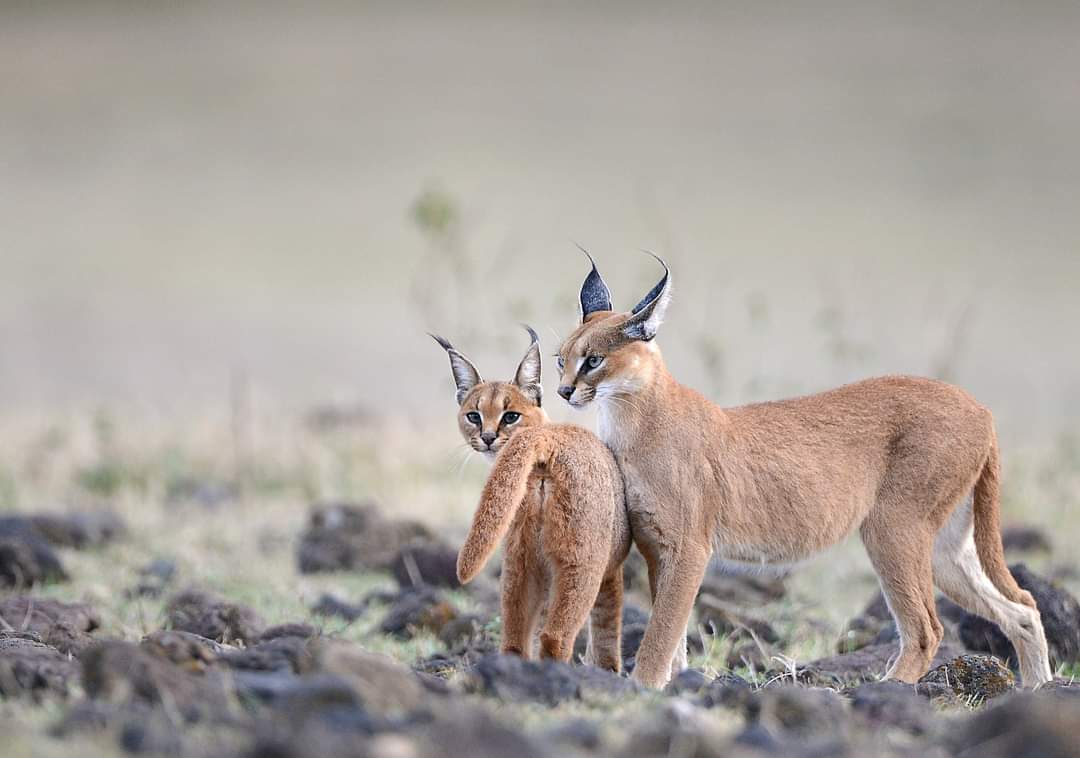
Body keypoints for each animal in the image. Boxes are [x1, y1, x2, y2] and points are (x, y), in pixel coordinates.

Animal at [432, 328, 630, 669]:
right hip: (581, 562)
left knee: (513, 636)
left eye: (510, 416)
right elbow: (607, 625)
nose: (487, 437)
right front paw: (608, 669)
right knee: (556, 636)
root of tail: (544, 440)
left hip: (518, 560)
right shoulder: (609, 571)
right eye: (474, 416)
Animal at [552, 252, 1049, 691]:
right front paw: (677, 682)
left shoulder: (688, 547)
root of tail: (980, 407)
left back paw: (881, 689)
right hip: (945, 546)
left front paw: (645, 687)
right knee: (1023, 605)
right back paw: (1039, 686)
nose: (563, 391)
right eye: (561, 358)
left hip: (893, 526)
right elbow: (672, 632)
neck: (631, 416)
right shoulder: (657, 547)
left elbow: (661, 632)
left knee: (928, 628)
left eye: (594, 360)